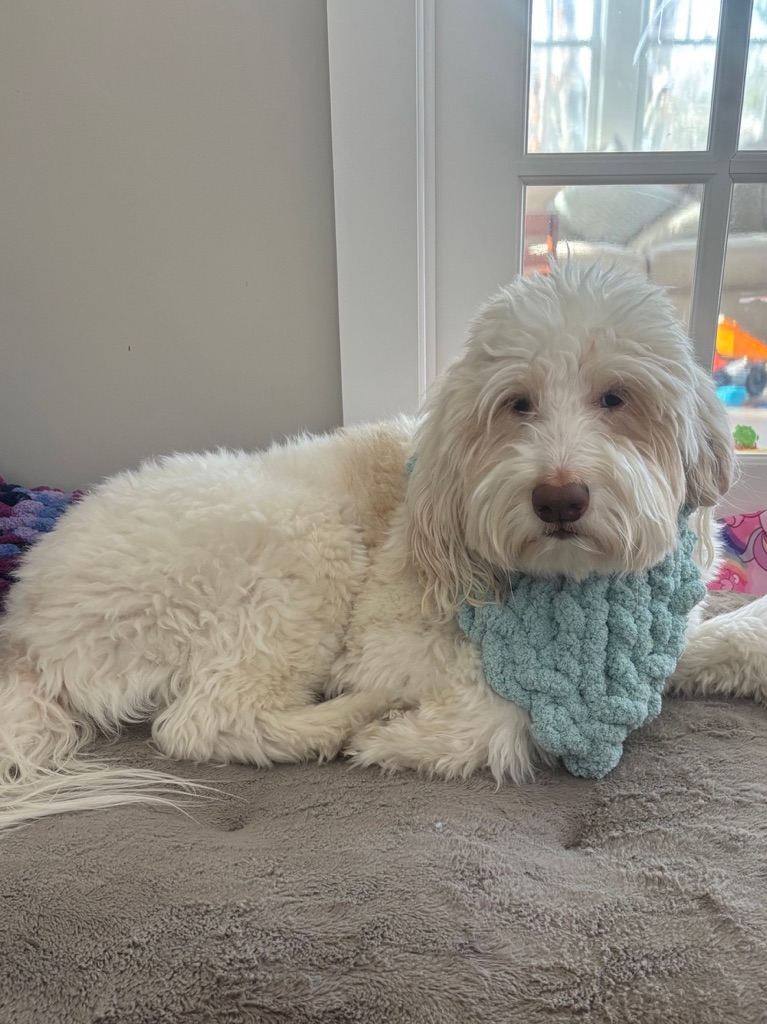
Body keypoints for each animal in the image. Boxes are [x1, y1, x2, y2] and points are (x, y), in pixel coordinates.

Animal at [1, 266, 765, 831]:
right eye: (516, 404)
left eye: (616, 398)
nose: (558, 499)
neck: (576, 587)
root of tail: (26, 624)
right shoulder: (388, 642)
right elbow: (504, 708)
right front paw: (400, 737)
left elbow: (718, 642)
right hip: (298, 543)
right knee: (200, 723)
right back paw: (346, 720)